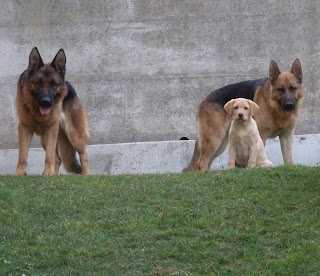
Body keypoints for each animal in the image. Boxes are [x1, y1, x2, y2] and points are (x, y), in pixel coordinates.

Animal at [15, 47, 89, 175]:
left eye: (54, 84)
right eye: (38, 82)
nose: (46, 102)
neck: (36, 111)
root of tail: (68, 84)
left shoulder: (51, 129)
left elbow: (49, 157)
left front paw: (49, 173)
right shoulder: (25, 129)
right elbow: (22, 156)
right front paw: (19, 175)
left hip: (73, 134)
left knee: (84, 154)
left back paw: (86, 175)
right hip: (44, 139)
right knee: (58, 159)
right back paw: (52, 175)